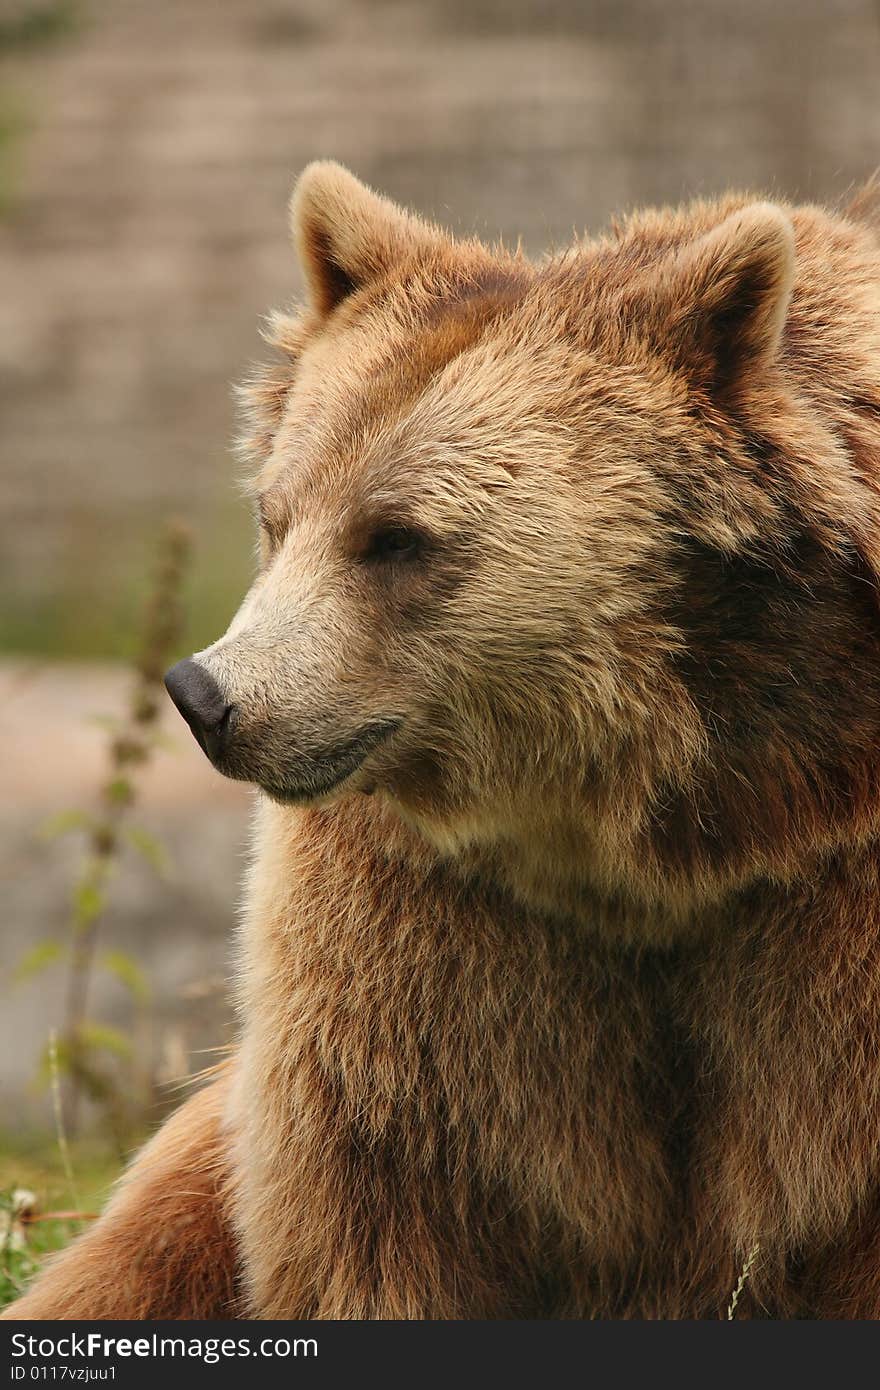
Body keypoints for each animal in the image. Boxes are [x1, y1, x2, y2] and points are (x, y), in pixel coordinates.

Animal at [10, 159, 878, 1312]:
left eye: (396, 538)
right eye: (278, 514)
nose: (207, 695)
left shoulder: (828, 904)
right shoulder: (430, 923)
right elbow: (382, 1182)